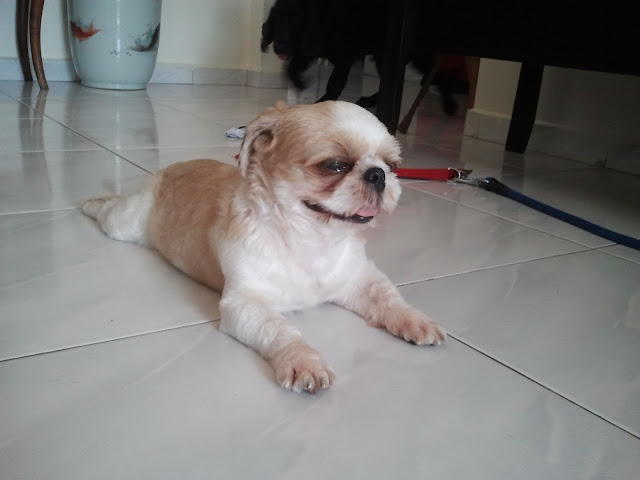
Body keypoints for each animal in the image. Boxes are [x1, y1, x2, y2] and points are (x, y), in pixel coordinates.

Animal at [82, 101, 445, 394]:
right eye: (335, 165)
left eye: (392, 164)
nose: (378, 175)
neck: (311, 240)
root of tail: (171, 168)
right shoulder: (244, 305)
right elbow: (281, 329)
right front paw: (304, 361)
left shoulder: (357, 279)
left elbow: (387, 297)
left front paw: (415, 320)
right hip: (125, 225)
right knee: (110, 212)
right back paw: (94, 203)